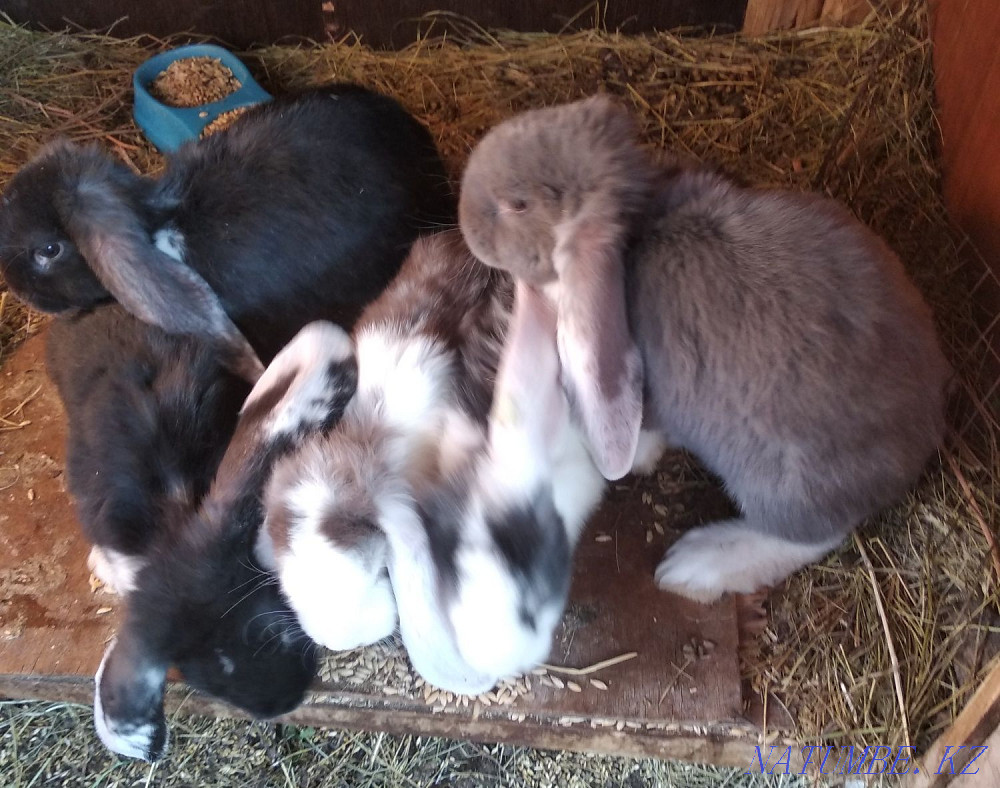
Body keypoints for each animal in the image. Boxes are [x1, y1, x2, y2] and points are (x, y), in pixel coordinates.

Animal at [458, 94, 951, 603]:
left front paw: (634, 461)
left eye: (518, 205)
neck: (639, 223)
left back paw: (697, 564)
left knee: (812, 535)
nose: (465, 221)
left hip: (781, 483)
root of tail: (923, 436)